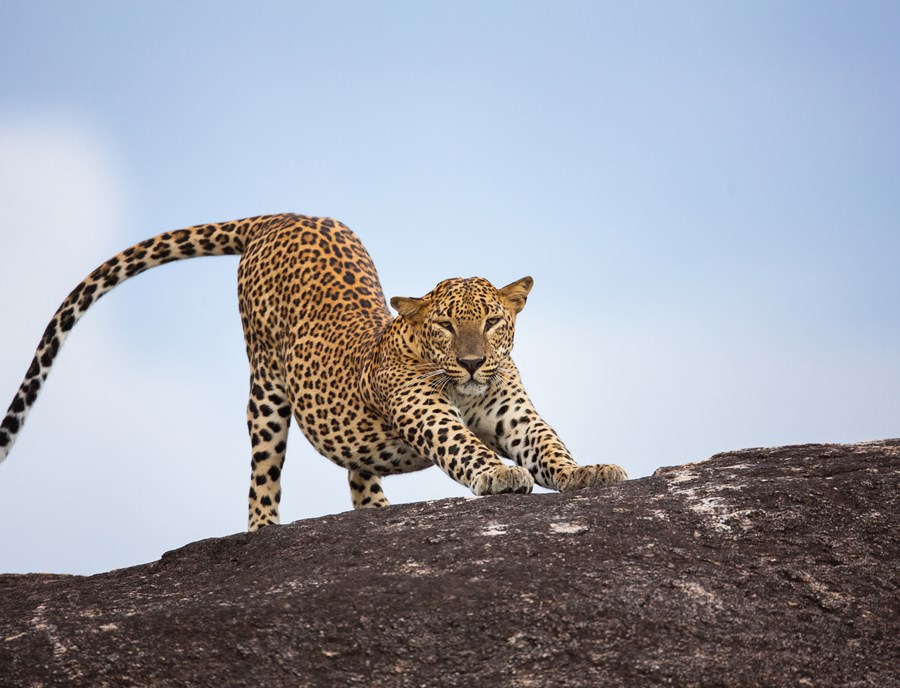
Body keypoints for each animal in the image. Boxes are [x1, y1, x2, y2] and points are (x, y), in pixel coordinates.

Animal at [1, 213, 626, 530]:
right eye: (446, 326)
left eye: (494, 322)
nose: (473, 362)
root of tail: (287, 214)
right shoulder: (425, 407)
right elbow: (463, 444)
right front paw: (498, 474)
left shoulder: (510, 410)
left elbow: (547, 443)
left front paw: (587, 472)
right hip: (265, 389)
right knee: (262, 473)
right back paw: (263, 530)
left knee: (358, 473)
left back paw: (375, 512)